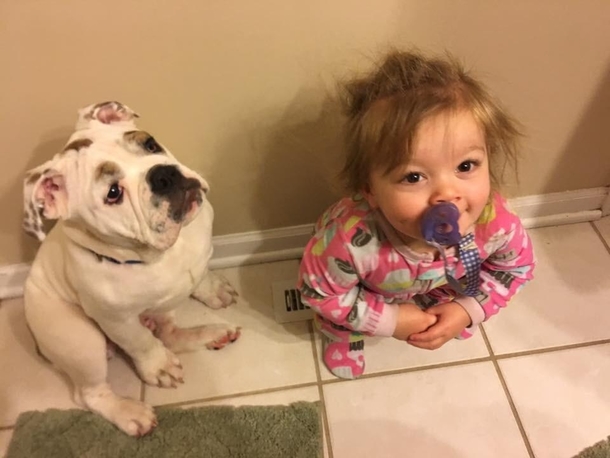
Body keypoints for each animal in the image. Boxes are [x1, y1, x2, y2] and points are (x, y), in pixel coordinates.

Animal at [22, 101, 240, 436]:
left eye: (150, 144)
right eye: (113, 193)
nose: (163, 174)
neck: (161, 252)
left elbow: (200, 276)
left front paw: (213, 289)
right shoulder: (117, 321)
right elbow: (141, 343)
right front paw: (158, 367)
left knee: (169, 333)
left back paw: (212, 334)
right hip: (81, 341)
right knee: (90, 393)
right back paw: (129, 411)